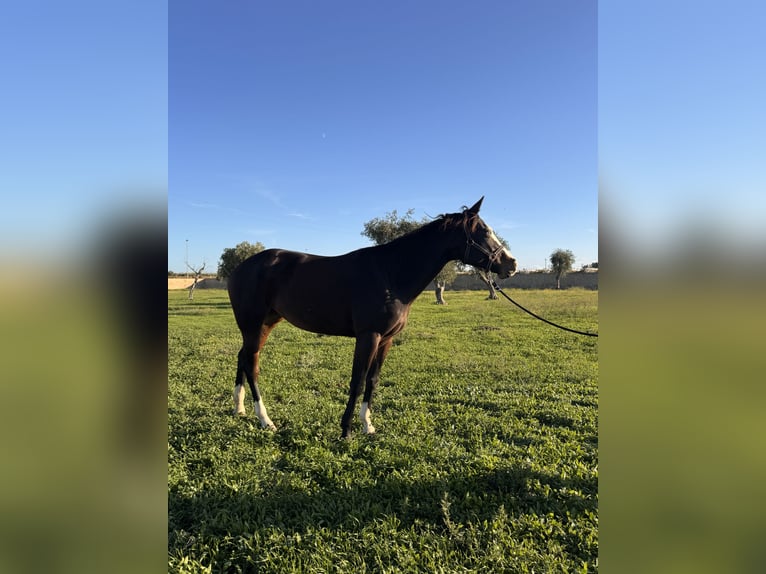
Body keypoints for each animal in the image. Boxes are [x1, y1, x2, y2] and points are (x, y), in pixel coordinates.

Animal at [227, 197, 517, 438]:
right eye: (484, 232)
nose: (511, 264)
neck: (390, 273)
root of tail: (241, 267)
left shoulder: (386, 339)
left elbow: (373, 380)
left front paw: (367, 425)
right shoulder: (369, 336)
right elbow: (357, 381)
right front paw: (346, 430)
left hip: (266, 323)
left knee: (243, 357)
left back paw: (240, 408)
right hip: (253, 324)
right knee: (252, 365)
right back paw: (265, 420)